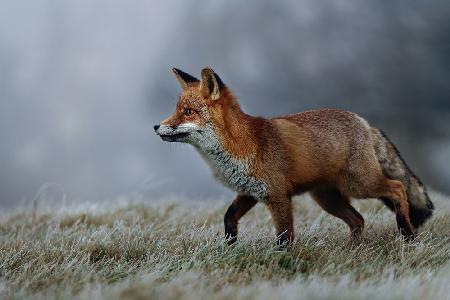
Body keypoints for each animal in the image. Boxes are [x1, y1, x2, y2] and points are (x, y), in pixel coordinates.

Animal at [154, 67, 432, 246]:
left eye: (188, 112)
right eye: (176, 109)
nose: (156, 126)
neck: (241, 145)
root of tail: (363, 121)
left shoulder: (278, 195)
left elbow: (285, 237)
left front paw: (282, 261)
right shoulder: (250, 192)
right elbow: (228, 218)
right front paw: (229, 248)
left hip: (360, 185)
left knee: (397, 189)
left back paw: (407, 234)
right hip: (327, 198)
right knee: (359, 220)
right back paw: (351, 251)